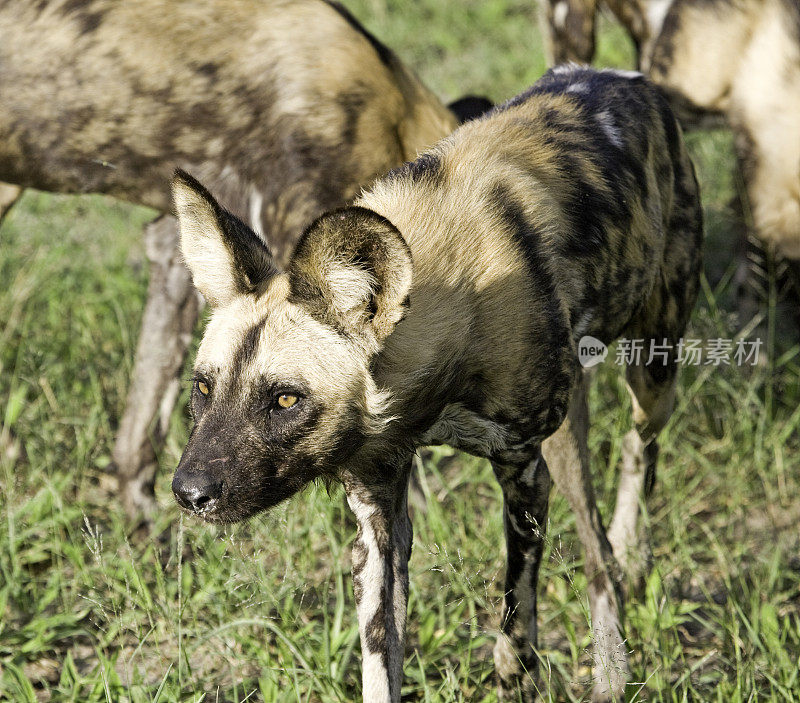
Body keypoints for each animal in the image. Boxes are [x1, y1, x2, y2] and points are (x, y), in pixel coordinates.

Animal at [172, 64, 704, 700]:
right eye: (204, 388)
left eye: (283, 399)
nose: (188, 493)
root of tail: (629, 77)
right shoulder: (376, 512)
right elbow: (381, 659)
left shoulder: (523, 471)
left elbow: (516, 602)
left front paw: (513, 666)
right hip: (571, 421)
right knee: (598, 522)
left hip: (650, 377)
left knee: (629, 466)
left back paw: (617, 628)